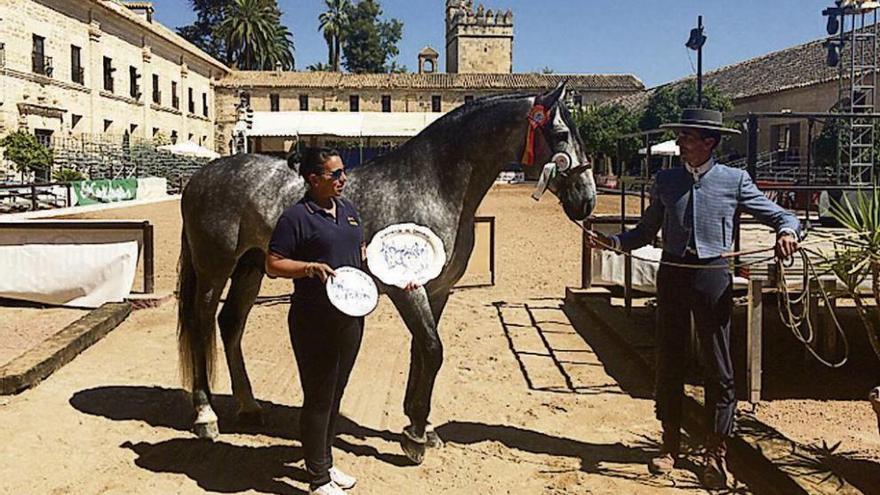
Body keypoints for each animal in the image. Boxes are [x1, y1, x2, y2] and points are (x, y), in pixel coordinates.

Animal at [180, 82, 600, 464]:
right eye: (561, 135)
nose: (587, 201)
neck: (433, 184)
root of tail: (203, 175)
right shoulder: (407, 290)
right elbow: (432, 349)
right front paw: (414, 439)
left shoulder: (437, 291)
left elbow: (423, 351)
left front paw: (421, 426)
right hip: (215, 268)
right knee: (202, 324)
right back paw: (205, 417)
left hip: (251, 267)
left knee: (230, 324)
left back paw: (249, 407)